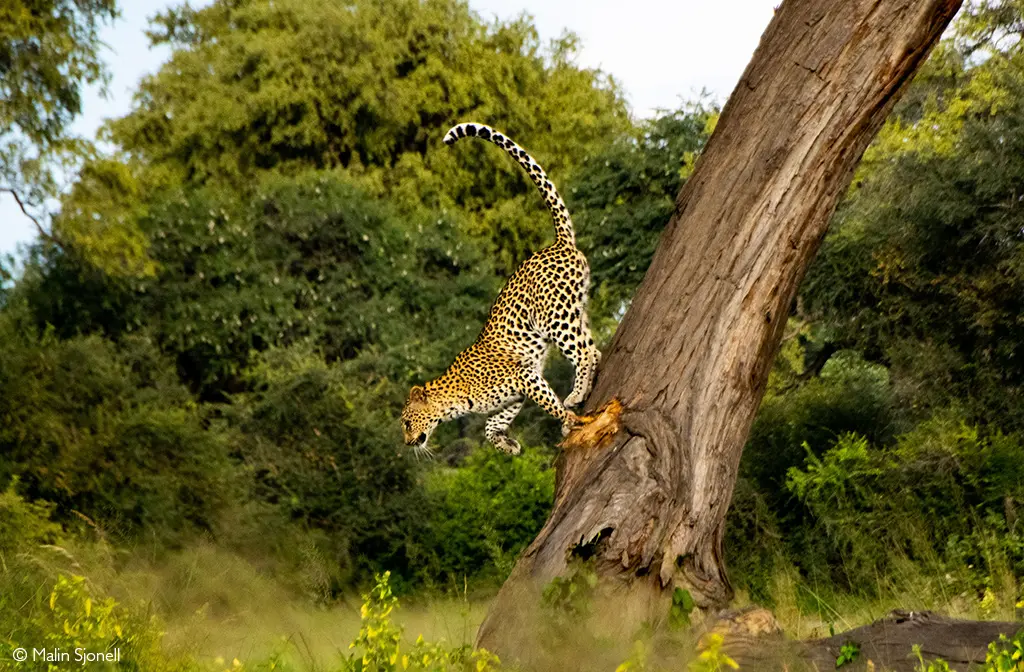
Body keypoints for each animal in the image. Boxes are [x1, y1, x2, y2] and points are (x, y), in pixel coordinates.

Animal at [401, 122, 601, 456]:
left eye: (405, 422)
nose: (405, 443)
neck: (453, 400)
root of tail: (559, 243)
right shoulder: (514, 395)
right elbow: (489, 425)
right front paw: (507, 445)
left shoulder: (524, 376)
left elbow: (549, 403)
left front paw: (566, 419)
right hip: (575, 309)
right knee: (594, 349)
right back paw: (583, 390)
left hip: (555, 318)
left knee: (584, 353)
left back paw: (576, 395)